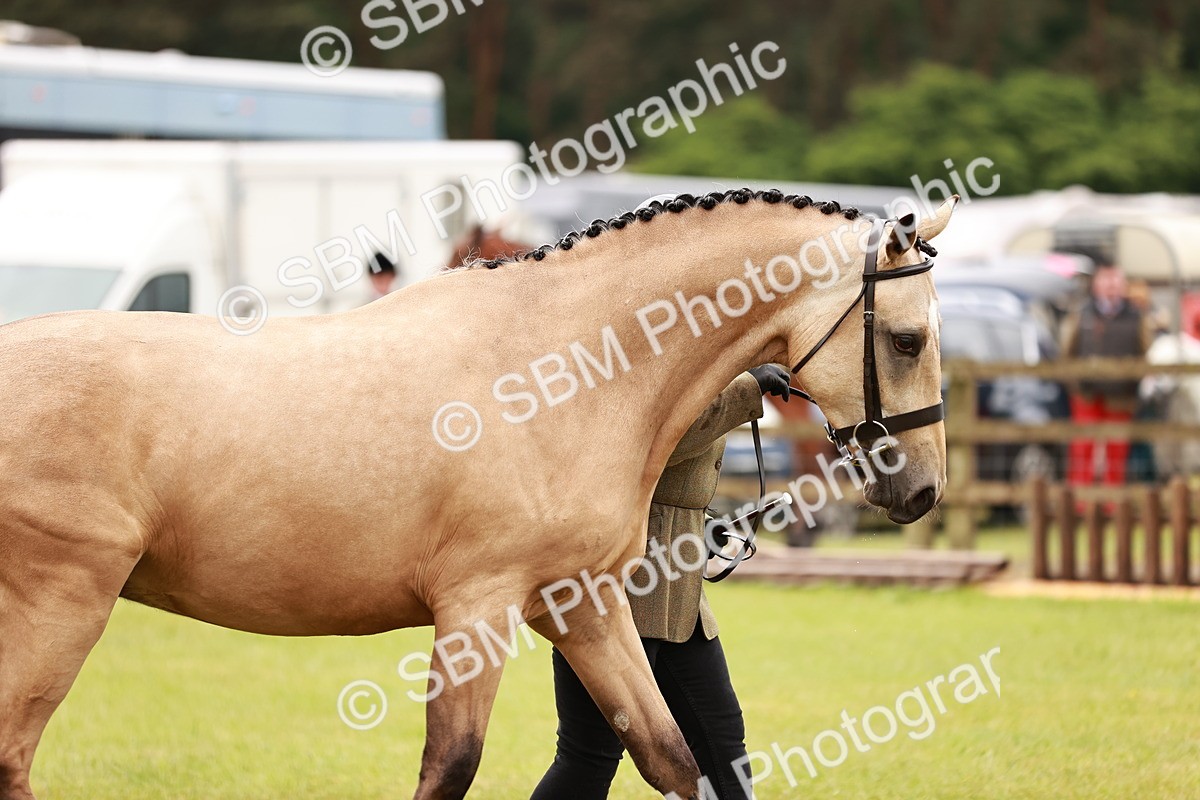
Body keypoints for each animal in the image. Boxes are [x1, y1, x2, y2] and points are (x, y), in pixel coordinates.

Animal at [0, 189, 956, 799]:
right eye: (908, 340)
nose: (922, 490)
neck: (559, 370)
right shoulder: (476, 610)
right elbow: (450, 766)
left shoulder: (585, 607)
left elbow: (670, 756)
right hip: (61, 605)